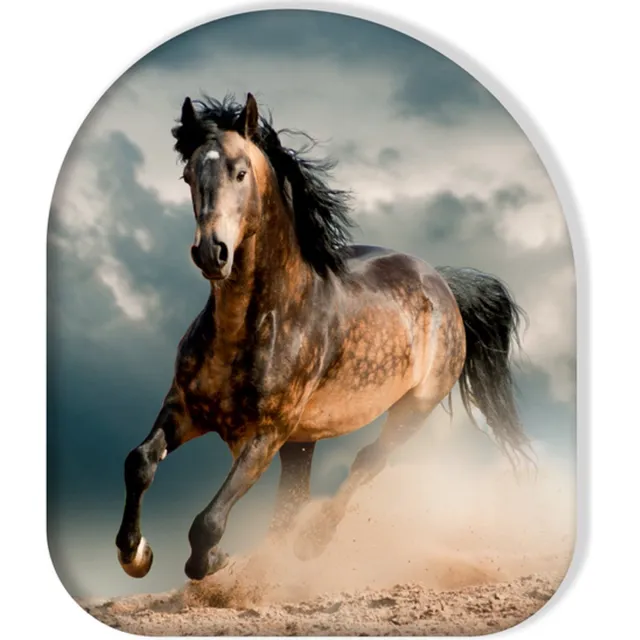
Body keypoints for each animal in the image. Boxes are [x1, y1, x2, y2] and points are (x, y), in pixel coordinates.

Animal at [115, 92, 532, 582]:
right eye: (188, 175)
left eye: (240, 172)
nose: (211, 253)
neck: (253, 325)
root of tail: (443, 283)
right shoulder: (184, 409)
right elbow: (139, 462)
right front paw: (135, 554)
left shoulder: (267, 433)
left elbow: (208, 521)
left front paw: (214, 560)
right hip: (304, 441)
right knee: (292, 500)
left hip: (413, 409)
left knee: (366, 462)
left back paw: (311, 543)